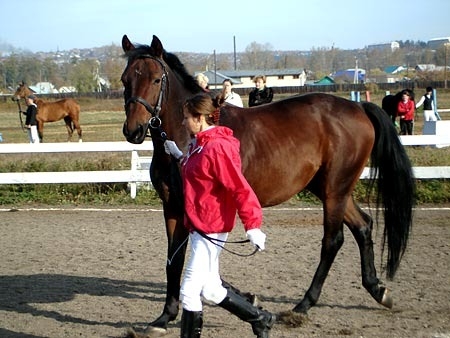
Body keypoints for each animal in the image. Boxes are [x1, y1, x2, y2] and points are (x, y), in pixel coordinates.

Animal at [120, 35, 414, 336]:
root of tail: (358, 108)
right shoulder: (172, 207)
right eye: (125, 79)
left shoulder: (190, 209)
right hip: (328, 188)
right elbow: (174, 260)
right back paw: (378, 290)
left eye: (156, 79)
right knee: (363, 226)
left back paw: (304, 305)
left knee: (333, 240)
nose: (134, 130)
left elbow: (189, 260)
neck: (187, 138)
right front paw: (166, 316)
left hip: (335, 189)